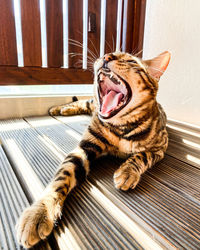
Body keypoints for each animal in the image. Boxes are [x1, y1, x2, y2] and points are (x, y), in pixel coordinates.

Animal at [16, 50, 170, 248]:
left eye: (131, 60)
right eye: (110, 53)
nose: (107, 56)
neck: (121, 127)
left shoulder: (160, 146)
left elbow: (141, 156)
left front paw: (127, 171)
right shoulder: (84, 148)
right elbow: (62, 176)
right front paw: (41, 211)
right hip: (93, 103)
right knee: (84, 102)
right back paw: (59, 108)